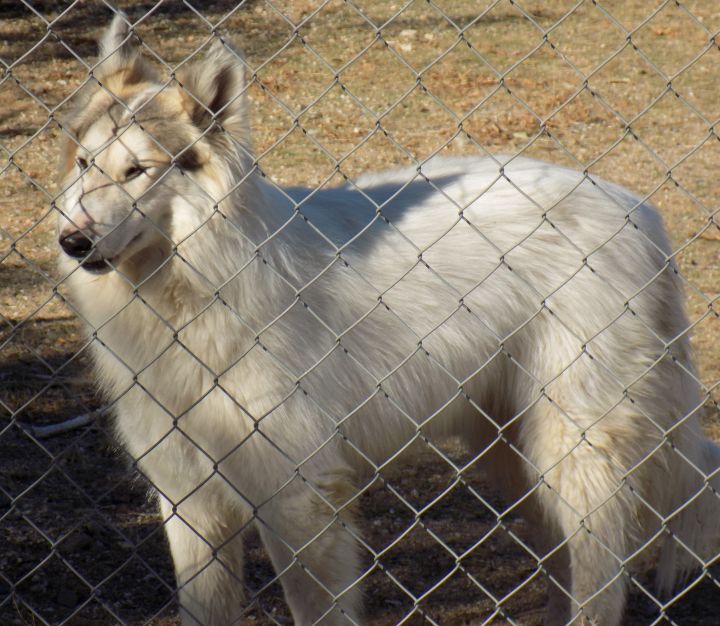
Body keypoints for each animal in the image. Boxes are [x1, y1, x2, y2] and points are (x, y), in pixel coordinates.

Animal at [57, 14, 720, 624]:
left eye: (137, 170)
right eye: (86, 164)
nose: (72, 241)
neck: (191, 291)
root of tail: (637, 210)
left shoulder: (299, 503)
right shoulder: (190, 503)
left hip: (574, 459)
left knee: (601, 584)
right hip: (517, 458)